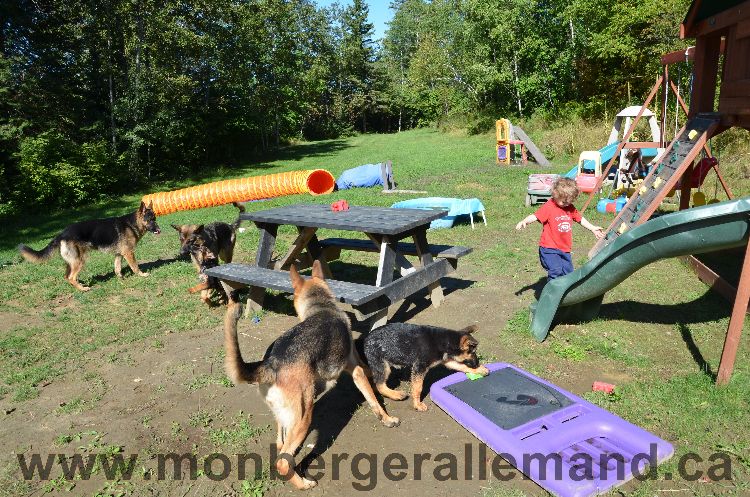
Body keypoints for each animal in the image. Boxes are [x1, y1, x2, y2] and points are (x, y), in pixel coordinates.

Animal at [18, 201, 161, 290]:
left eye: (155, 219)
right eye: (150, 220)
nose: (159, 230)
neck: (132, 224)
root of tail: (61, 234)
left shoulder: (119, 254)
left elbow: (117, 268)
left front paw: (121, 278)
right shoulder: (129, 253)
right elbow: (135, 266)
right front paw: (142, 275)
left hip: (71, 262)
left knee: (67, 276)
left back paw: (78, 285)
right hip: (80, 261)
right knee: (71, 277)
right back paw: (83, 289)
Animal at [223, 260, 400, 488]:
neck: (321, 307)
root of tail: (270, 365)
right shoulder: (357, 370)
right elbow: (373, 395)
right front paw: (388, 416)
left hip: (286, 416)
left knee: (280, 443)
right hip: (304, 417)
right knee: (282, 463)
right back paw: (304, 484)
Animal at [366, 322, 494, 410]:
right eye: (472, 352)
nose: (477, 364)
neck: (444, 341)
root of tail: (366, 339)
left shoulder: (447, 361)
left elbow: (461, 366)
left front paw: (481, 370)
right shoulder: (419, 367)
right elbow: (418, 387)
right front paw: (417, 405)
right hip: (383, 366)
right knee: (379, 384)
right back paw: (397, 395)